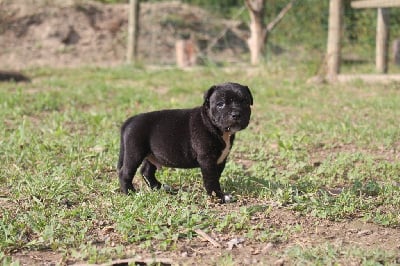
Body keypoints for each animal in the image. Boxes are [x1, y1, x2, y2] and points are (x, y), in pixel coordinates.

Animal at [117, 82, 252, 203]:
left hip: (152, 154)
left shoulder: (221, 159)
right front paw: (218, 196)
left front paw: (217, 194)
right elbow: (211, 179)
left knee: (146, 171)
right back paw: (130, 193)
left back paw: (160, 188)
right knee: (125, 172)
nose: (236, 114)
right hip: (134, 153)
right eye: (220, 104)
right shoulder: (207, 159)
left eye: (245, 102)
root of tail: (130, 120)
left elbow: (216, 176)